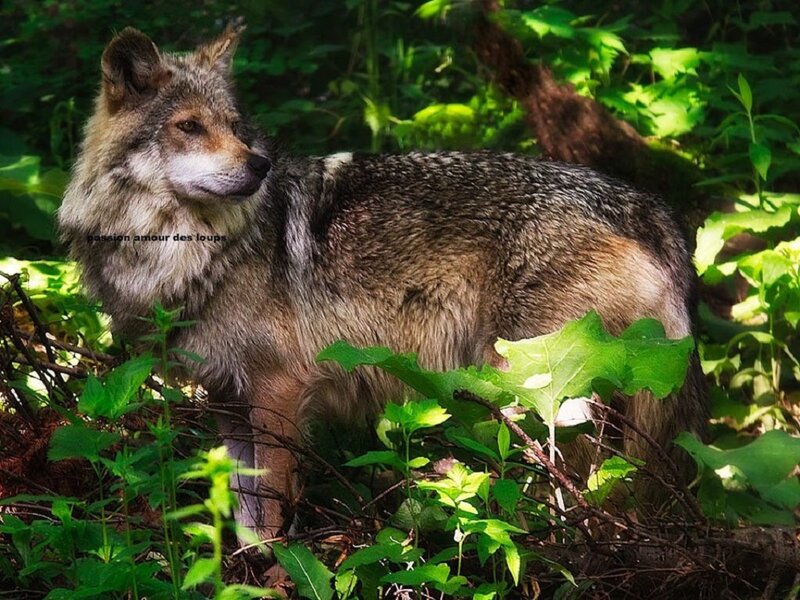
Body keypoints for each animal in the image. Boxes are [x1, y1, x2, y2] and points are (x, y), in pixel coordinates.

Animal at [58, 26, 707, 539]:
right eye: (190, 126)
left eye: (236, 128)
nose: (260, 165)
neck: (189, 253)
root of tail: (649, 207)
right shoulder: (227, 400)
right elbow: (245, 515)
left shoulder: (278, 389)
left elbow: (270, 507)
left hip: (539, 397)